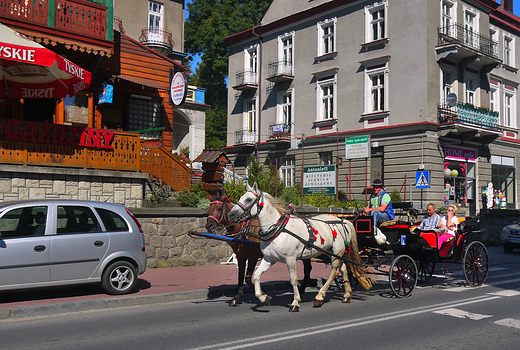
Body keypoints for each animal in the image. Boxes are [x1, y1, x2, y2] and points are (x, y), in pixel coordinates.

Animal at [228, 183, 374, 312]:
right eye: (240, 197)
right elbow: (257, 275)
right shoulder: (269, 258)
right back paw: (347, 294)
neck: (279, 229)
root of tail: (342, 221)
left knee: (334, 272)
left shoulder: (290, 259)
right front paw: (263, 297)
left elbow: (293, 280)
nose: (231, 214)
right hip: (332, 253)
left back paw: (319, 297)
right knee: (343, 269)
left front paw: (295, 302)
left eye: (248, 199)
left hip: (336, 253)